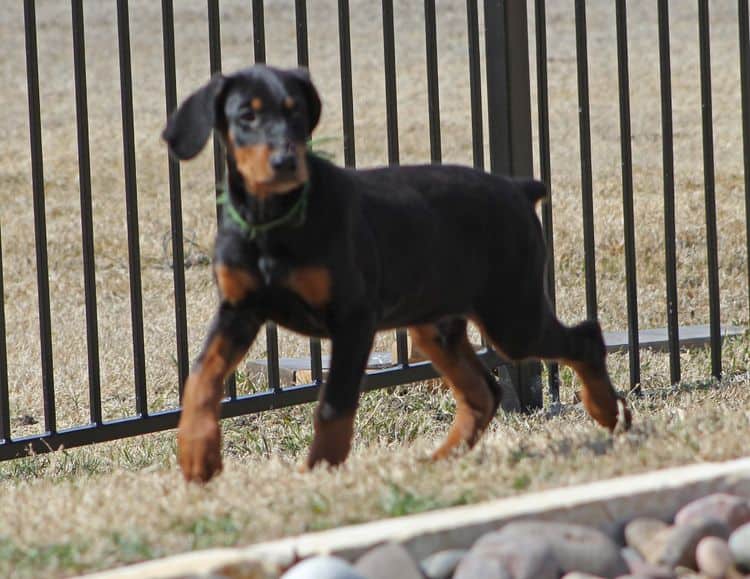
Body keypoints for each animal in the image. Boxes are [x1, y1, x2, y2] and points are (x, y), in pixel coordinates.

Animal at [166, 65, 636, 484]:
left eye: (296, 113)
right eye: (246, 115)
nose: (286, 162)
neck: (273, 219)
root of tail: (518, 188)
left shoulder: (354, 320)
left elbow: (334, 404)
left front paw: (318, 473)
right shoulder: (238, 310)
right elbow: (201, 376)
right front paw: (197, 455)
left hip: (512, 316)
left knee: (585, 338)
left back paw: (607, 411)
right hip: (436, 324)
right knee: (484, 392)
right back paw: (441, 459)